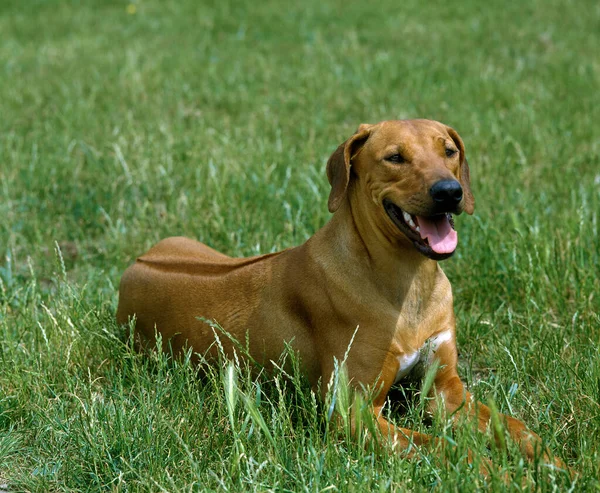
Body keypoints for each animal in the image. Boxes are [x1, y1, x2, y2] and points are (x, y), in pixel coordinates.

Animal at [117, 118, 568, 468]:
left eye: (450, 151)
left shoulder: (445, 388)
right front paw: (500, 474)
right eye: (395, 157)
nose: (449, 192)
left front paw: (554, 464)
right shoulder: (353, 411)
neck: (409, 283)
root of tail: (136, 263)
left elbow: (513, 427)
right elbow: (441, 446)